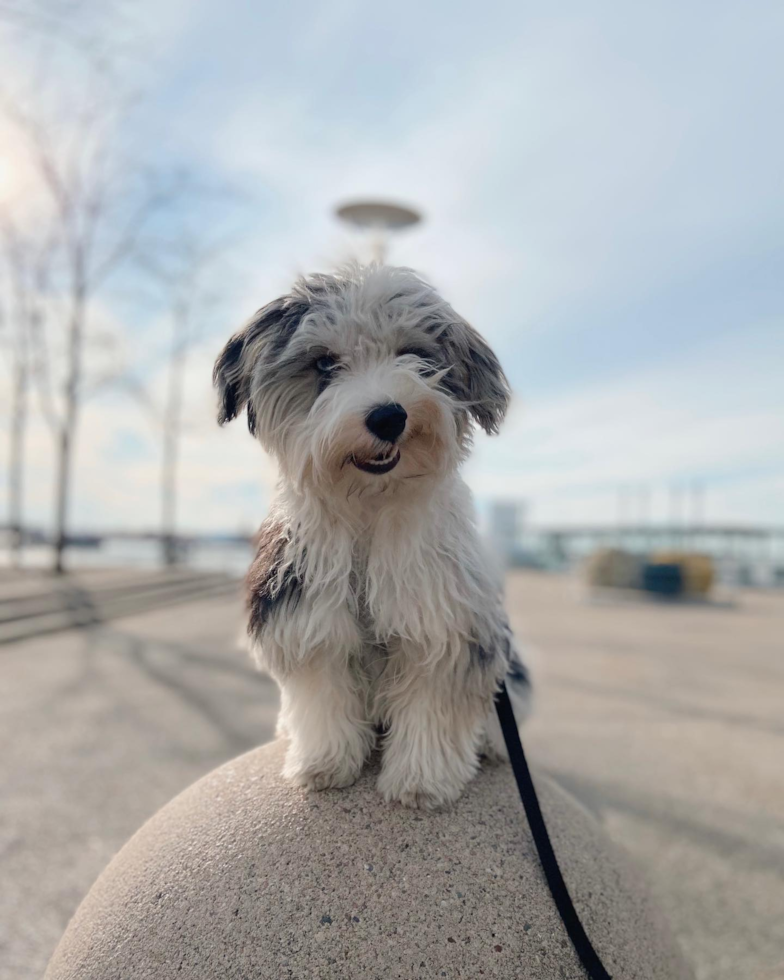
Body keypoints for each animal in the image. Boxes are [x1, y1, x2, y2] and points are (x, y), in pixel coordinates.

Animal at [211, 264, 528, 808]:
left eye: (415, 355)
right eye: (324, 363)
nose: (388, 416)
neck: (370, 506)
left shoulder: (443, 621)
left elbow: (432, 702)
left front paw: (422, 779)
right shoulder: (306, 613)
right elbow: (322, 692)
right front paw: (324, 762)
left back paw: (491, 742)